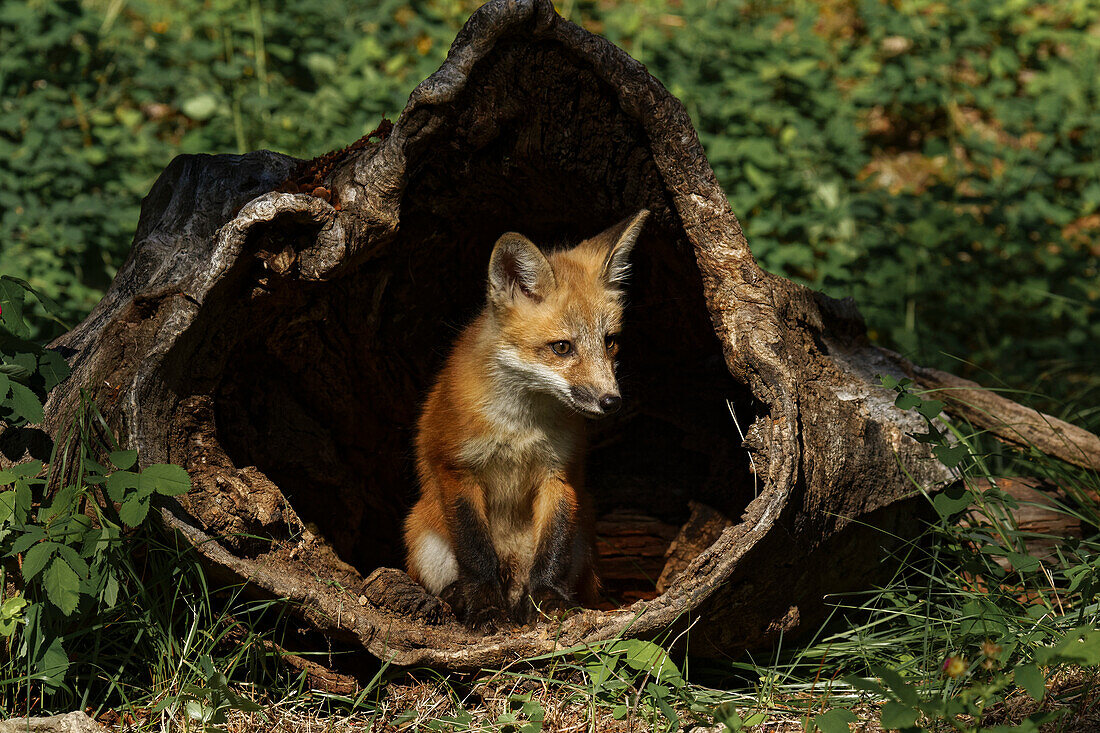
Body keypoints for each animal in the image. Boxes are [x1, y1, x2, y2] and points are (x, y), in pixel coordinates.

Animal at [402, 208, 642, 625]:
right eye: (562, 347)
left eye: (610, 341)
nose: (611, 401)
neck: (520, 428)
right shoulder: (457, 469)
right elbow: (476, 552)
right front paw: (483, 605)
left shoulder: (558, 474)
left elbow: (552, 553)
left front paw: (547, 600)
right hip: (421, 533)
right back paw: (456, 598)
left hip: (584, 537)